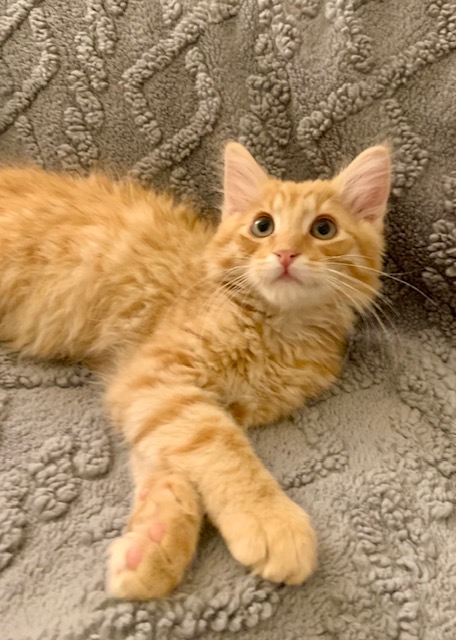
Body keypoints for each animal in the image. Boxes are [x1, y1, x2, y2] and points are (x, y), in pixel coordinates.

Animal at [0, 142, 391, 600]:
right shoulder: (158, 376)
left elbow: (170, 462)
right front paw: (270, 519)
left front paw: (153, 544)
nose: (285, 253)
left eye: (323, 229)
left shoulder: (158, 397)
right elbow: (221, 448)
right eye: (262, 226)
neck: (277, 329)